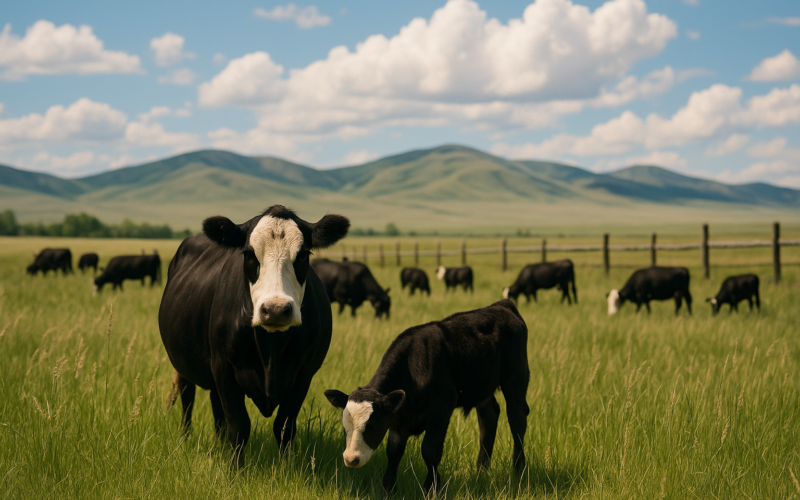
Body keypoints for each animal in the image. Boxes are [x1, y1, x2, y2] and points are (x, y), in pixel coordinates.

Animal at [159, 206, 349, 466]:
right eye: (249, 255)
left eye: (302, 256)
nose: (276, 309)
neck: (271, 350)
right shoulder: (224, 367)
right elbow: (239, 425)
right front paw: (234, 469)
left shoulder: (304, 373)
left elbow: (284, 427)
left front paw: (286, 468)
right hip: (184, 365)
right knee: (188, 399)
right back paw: (185, 439)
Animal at [325, 299, 530, 493]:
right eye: (345, 427)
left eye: (372, 425)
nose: (351, 459)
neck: (412, 368)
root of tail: (501, 306)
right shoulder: (399, 416)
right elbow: (394, 451)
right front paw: (388, 488)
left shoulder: (441, 407)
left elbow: (430, 450)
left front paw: (431, 487)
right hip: (482, 388)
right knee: (489, 417)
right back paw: (481, 471)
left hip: (516, 378)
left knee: (517, 419)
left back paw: (519, 471)